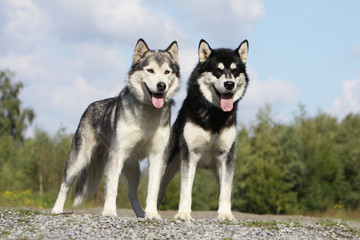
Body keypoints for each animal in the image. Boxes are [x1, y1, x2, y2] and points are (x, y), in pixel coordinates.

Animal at [50, 38, 180, 218]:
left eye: (167, 72)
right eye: (150, 70)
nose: (161, 86)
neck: (147, 112)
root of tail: (89, 106)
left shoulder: (157, 156)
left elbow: (153, 190)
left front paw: (153, 214)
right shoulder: (117, 154)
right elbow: (112, 187)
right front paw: (109, 211)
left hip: (134, 170)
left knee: (132, 194)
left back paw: (141, 214)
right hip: (77, 162)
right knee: (64, 186)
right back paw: (56, 210)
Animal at [159, 39, 249, 219]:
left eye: (235, 71)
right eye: (218, 70)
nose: (229, 84)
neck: (214, 114)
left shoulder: (226, 156)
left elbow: (226, 191)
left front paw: (225, 214)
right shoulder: (190, 155)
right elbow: (186, 189)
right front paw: (183, 213)